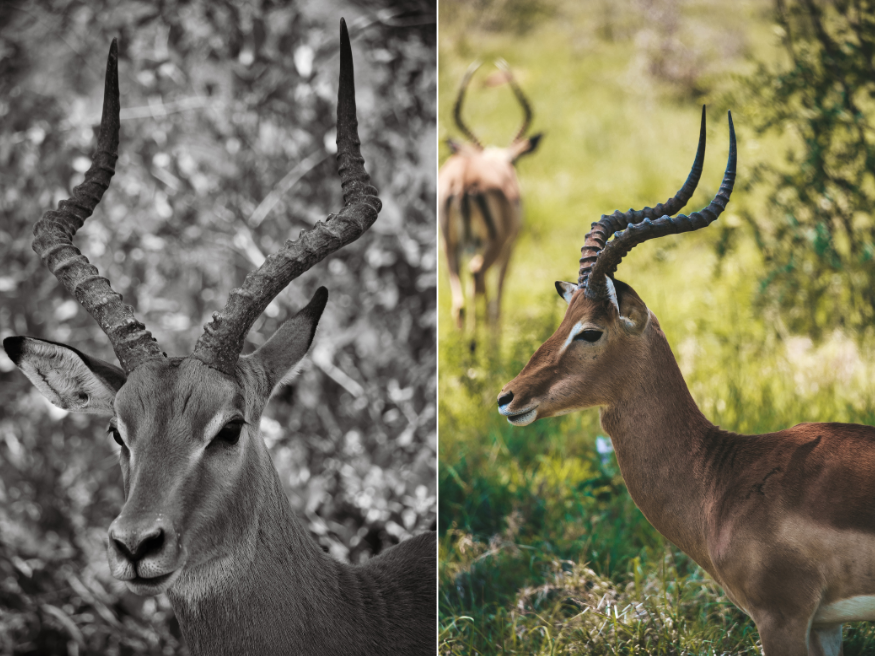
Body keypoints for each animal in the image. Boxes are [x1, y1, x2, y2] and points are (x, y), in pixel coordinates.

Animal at [439, 59, 542, 330]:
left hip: (450, 246)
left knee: (460, 302)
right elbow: (497, 297)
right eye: (515, 163)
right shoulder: (509, 247)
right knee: (477, 276)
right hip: (492, 245)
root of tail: (464, 179)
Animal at [497, 108, 875, 656]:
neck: (723, 479)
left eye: (589, 331)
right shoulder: (825, 624)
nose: (508, 397)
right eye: (563, 318)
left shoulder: (782, 617)